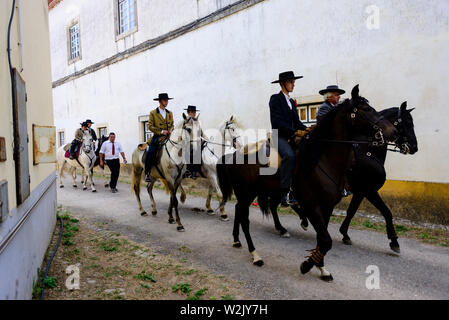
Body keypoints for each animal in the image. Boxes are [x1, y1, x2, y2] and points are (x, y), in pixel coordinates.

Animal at [216, 86, 396, 282]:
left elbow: (322, 239)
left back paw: (237, 240)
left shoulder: (327, 207)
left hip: (250, 193)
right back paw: (255, 255)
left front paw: (322, 268)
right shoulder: (312, 205)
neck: (322, 160)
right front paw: (307, 265)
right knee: (245, 219)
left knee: (241, 212)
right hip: (246, 192)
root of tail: (235, 153)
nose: (392, 131)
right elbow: (326, 240)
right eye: (365, 109)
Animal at [338, 101, 418, 251]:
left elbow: (351, 211)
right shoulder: (368, 190)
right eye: (406, 123)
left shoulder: (361, 192)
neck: (368, 150)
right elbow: (386, 212)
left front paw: (345, 234)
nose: (415, 147)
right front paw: (394, 240)